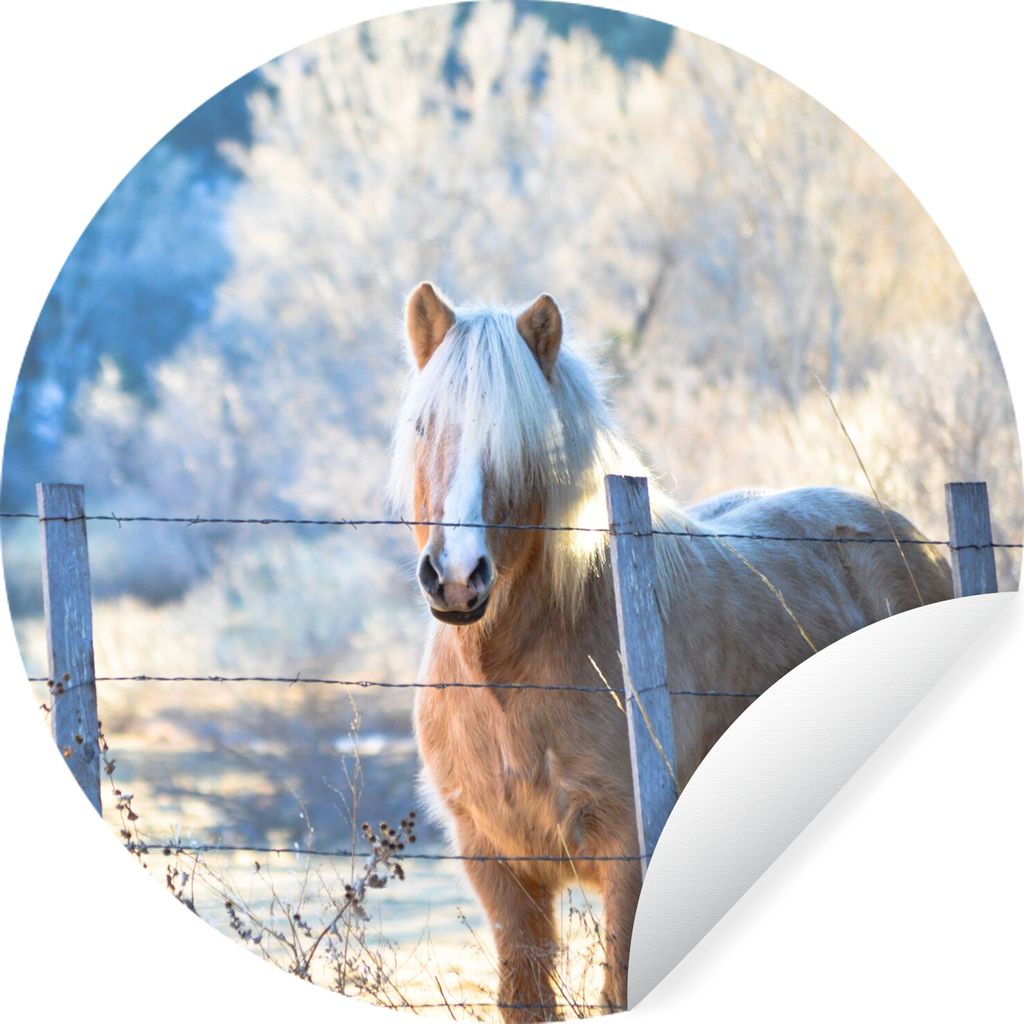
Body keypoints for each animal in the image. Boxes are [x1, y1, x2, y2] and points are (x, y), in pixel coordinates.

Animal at [388, 282, 952, 1021]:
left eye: (525, 443)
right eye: (424, 427)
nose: (457, 577)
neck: (510, 682)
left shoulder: (630, 861)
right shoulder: (501, 870)